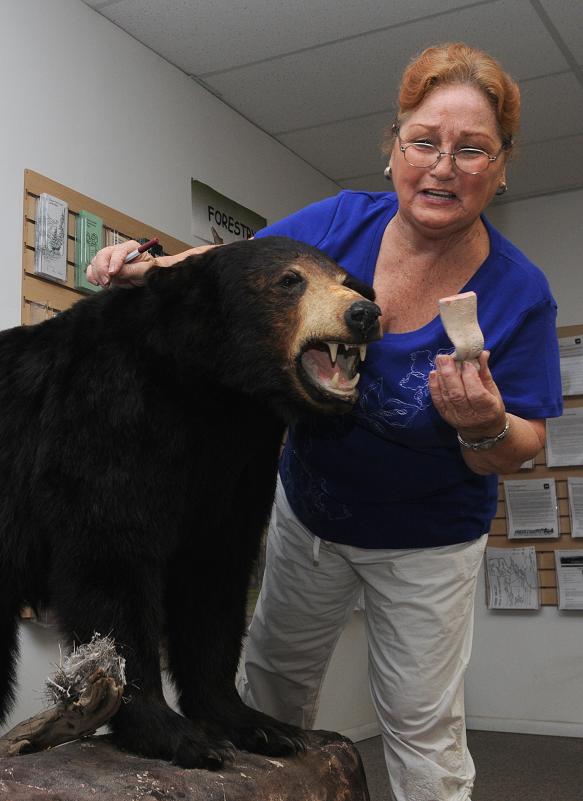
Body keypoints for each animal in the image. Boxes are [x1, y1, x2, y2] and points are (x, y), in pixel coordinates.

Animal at [0, 234, 384, 764]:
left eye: (347, 280)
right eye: (290, 279)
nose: (364, 313)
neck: (209, 388)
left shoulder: (236, 463)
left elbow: (214, 580)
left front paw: (258, 725)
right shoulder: (109, 414)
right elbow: (112, 561)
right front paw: (172, 732)